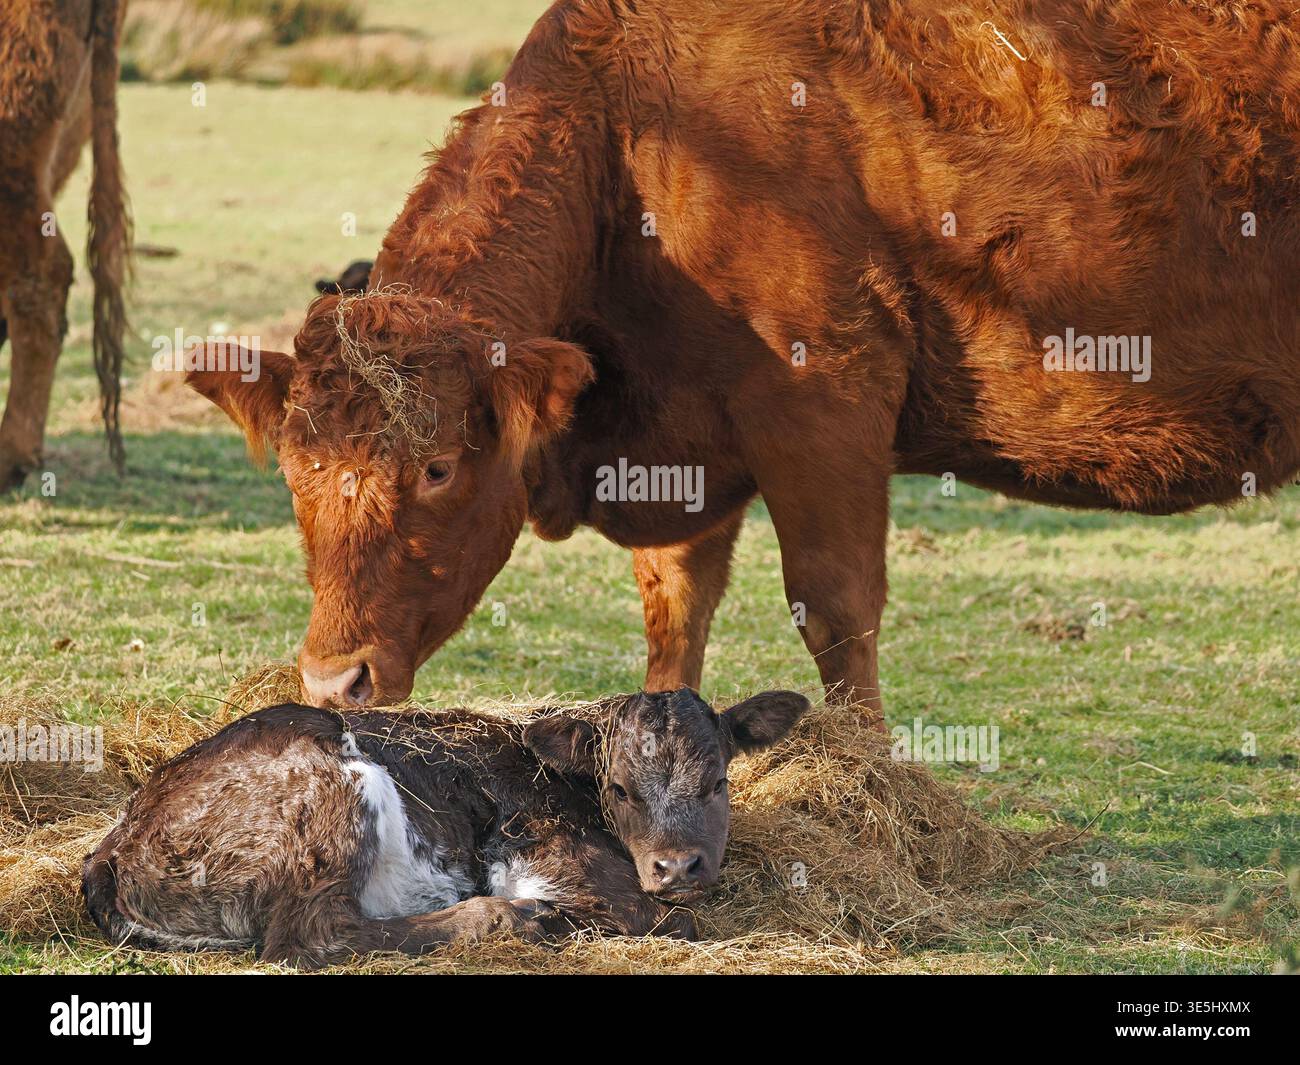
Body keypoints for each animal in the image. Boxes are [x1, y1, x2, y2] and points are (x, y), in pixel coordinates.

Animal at [82, 688, 809, 967]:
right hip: (335, 790)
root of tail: (113, 845)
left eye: (718, 783)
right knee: (311, 934)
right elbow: (668, 919)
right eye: (620, 788)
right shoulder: (546, 857)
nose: (678, 866)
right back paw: (511, 919)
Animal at [186, 0, 1300, 727]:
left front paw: (866, 788)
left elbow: (838, 606)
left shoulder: (824, 398)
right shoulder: (684, 447)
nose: (332, 683)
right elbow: (674, 612)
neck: (637, 147)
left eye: (437, 468)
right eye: (295, 473)